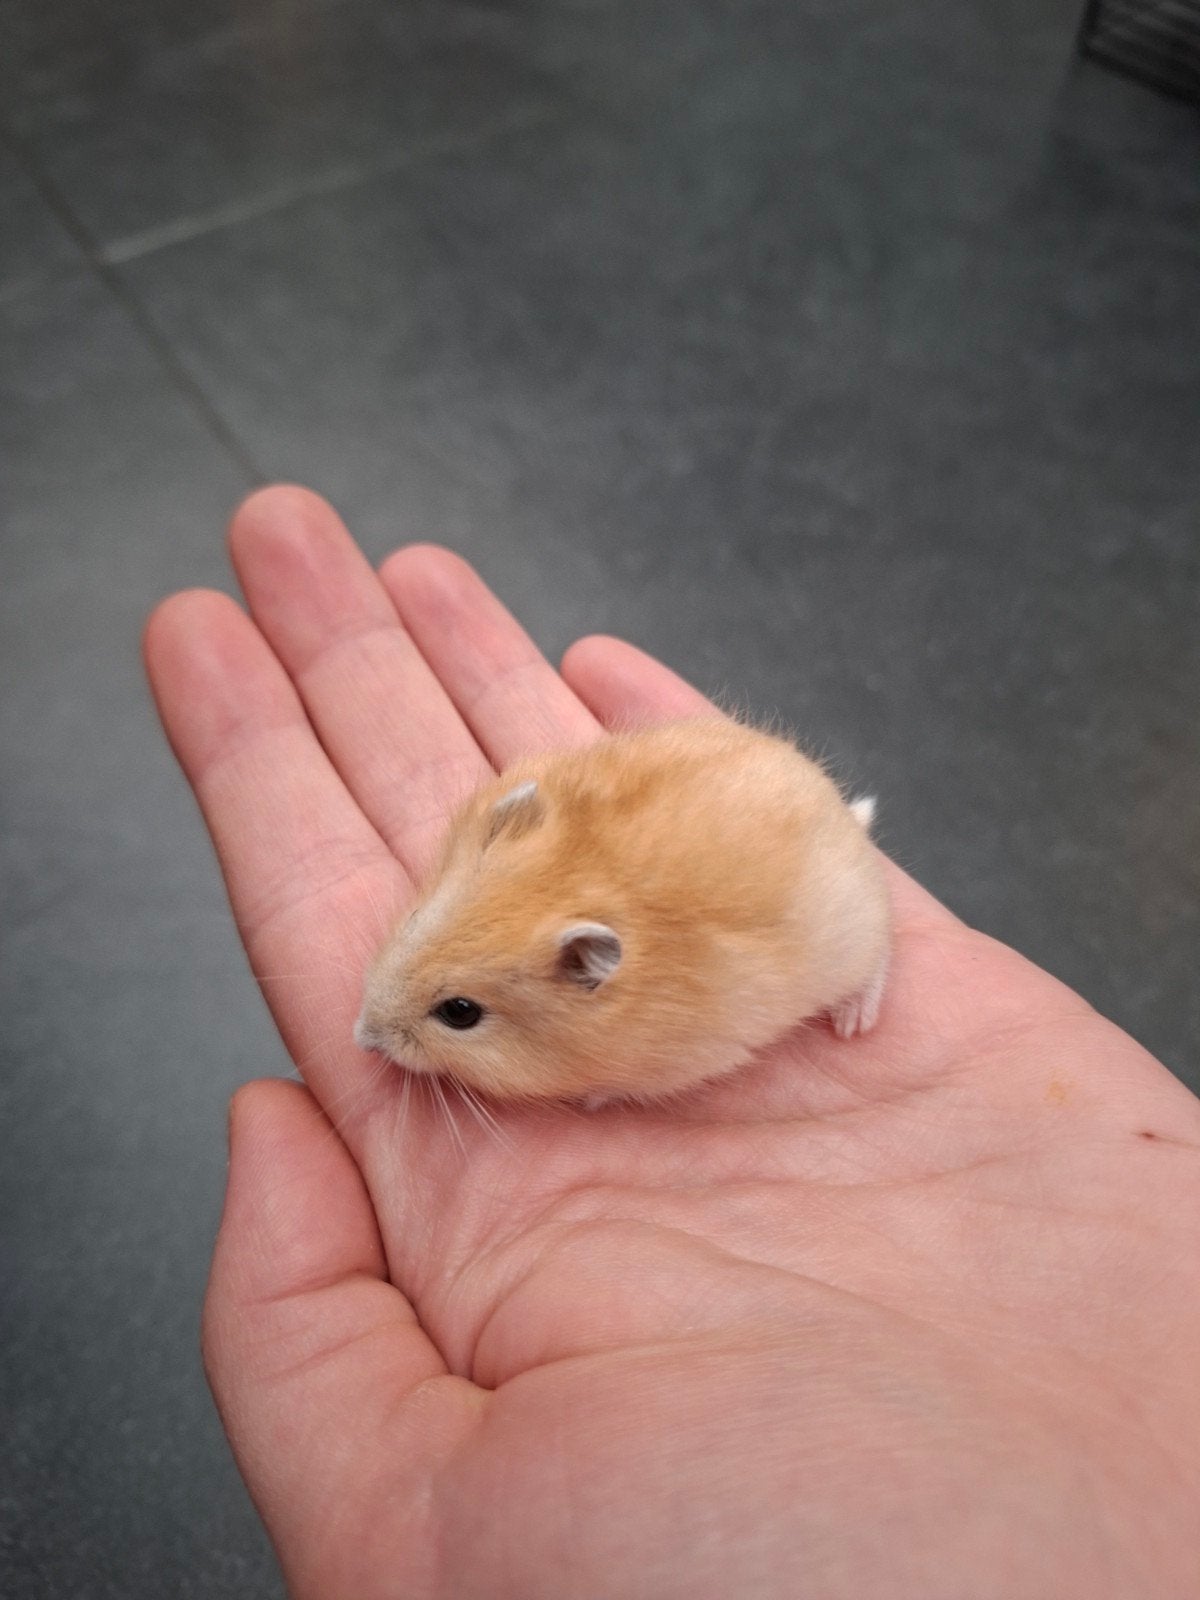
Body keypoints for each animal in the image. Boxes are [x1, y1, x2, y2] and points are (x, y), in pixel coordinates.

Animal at [354, 718, 890, 1104]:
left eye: (459, 1013)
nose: (361, 1038)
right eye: (414, 920)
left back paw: (853, 1023)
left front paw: (591, 1101)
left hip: (855, 935)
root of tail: (845, 818)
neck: (582, 879)